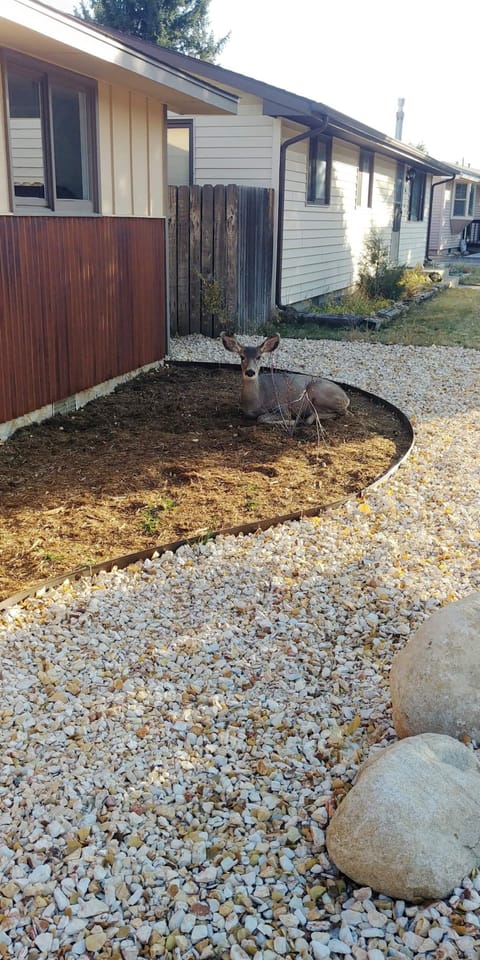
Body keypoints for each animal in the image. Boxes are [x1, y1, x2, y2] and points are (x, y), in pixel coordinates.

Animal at [221, 332, 350, 424]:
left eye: (259, 357)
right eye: (242, 357)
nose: (250, 372)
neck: (256, 401)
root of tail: (347, 398)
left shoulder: (282, 405)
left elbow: (262, 418)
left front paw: (292, 421)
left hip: (317, 392)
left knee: (342, 412)